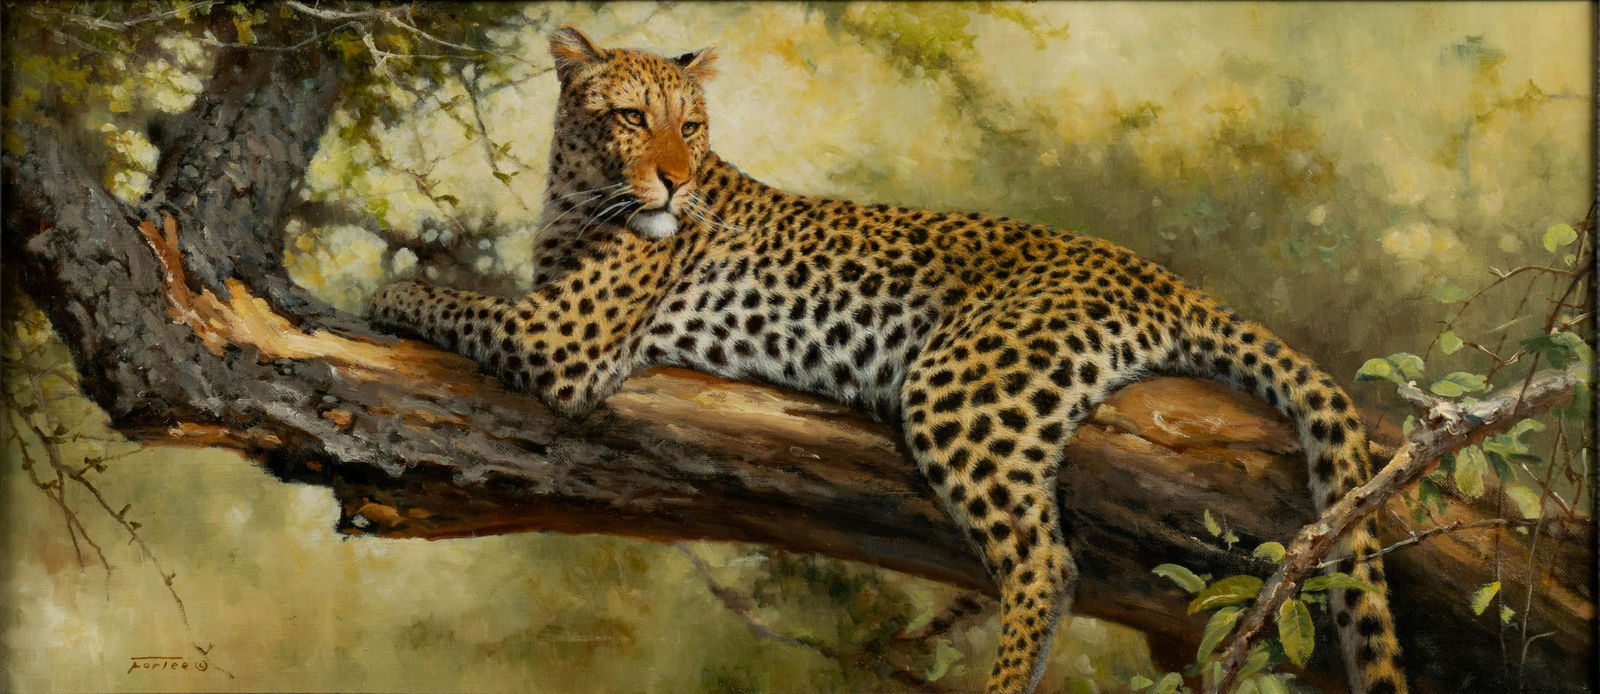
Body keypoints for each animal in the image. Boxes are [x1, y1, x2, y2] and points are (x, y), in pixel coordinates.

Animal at [367, 25, 1407, 694]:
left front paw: (383, 296)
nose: (673, 180)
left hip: (962, 389)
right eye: (628, 117)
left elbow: (458, 303)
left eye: (690, 127)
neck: (575, 194)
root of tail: (1157, 275)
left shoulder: (560, 340)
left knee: (1045, 564)